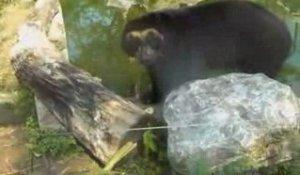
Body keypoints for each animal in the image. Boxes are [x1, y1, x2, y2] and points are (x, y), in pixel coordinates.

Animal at [120, 0, 292, 104]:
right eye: (134, 41)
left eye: (152, 39)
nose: (145, 55)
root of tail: (287, 36)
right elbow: (156, 77)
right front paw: (150, 97)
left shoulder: (183, 52)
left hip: (263, 51)